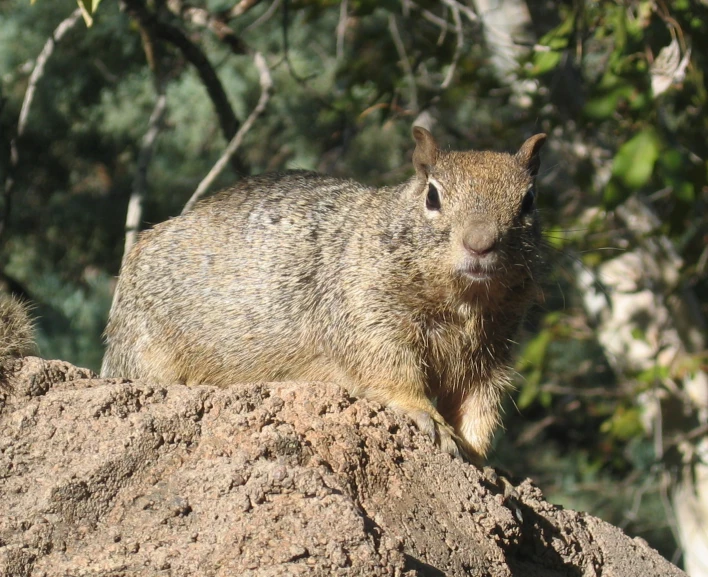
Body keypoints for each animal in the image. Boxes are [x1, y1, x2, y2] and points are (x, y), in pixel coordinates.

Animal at [102, 127, 548, 464]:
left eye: (528, 201)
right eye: (432, 196)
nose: (480, 243)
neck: (464, 303)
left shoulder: (491, 356)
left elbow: (478, 410)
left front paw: (483, 463)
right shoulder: (366, 316)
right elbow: (391, 372)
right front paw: (427, 418)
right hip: (146, 350)